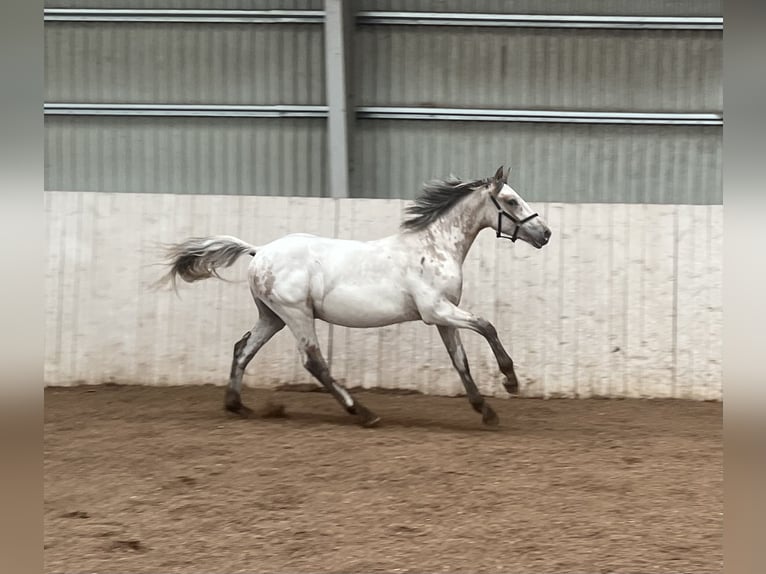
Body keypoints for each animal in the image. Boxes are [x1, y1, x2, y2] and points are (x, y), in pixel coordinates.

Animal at [162, 166, 552, 428]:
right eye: (511, 200)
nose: (545, 233)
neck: (433, 248)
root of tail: (259, 252)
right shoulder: (437, 311)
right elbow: (487, 326)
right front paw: (511, 381)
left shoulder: (444, 316)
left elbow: (461, 362)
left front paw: (486, 411)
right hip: (297, 314)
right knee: (314, 362)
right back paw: (363, 413)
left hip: (272, 316)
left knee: (242, 349)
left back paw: (237, 406)